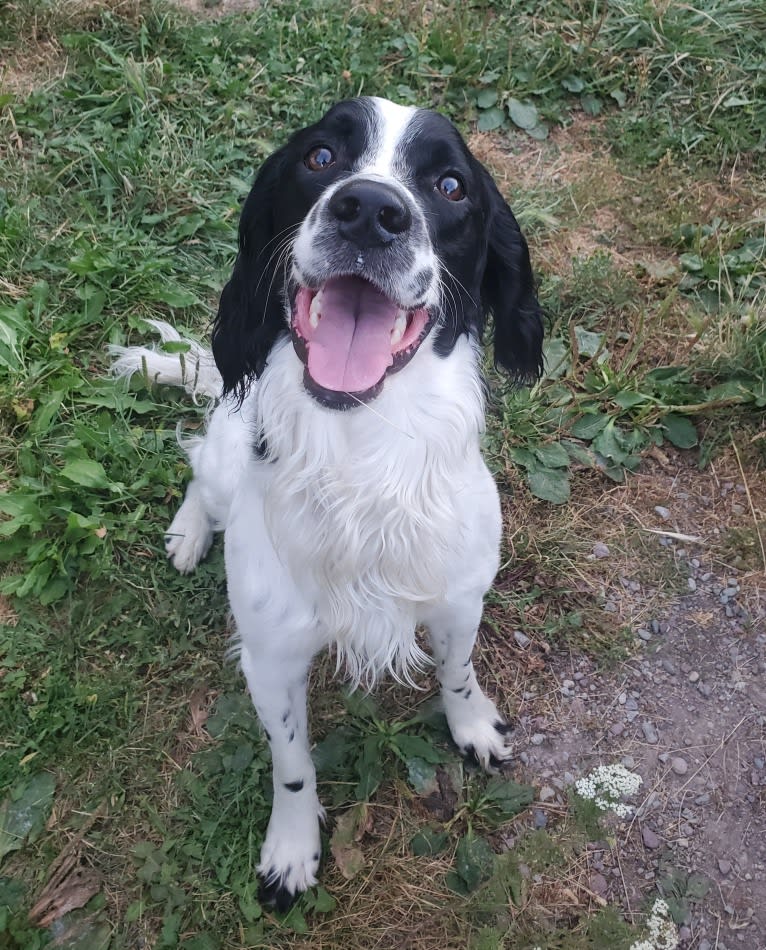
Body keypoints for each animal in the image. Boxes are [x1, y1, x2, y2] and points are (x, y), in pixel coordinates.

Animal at [112, 98, 544, 916]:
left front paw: (473, 727)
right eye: (319, 157)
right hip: (225, 452)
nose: (370, 211)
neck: (363, 455)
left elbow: (459, 672)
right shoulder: (271, 658)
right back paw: (188, 531)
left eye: (449, 184)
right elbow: (292, 765)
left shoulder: (459, 599)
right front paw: (291, 851)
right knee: (199, 464)